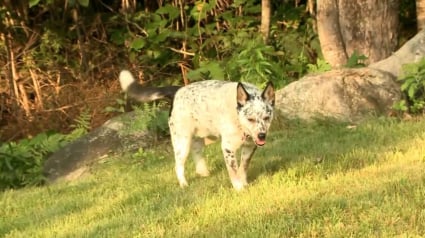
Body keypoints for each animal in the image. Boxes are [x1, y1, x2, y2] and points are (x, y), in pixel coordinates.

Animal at [118, 69, 274, 191]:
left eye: (267, 117)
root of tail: (176, 91)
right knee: (178, 166)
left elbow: (243, 166)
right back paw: (184, 184)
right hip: (182, 142)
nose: (262, 135)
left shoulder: (250, 146)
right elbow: (234, 171)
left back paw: (203, 173)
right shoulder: (228, 148)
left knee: (197, 154)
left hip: (198, 139)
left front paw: (244, 182)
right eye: (250, 119)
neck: (237, 115)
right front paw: (239, 188)